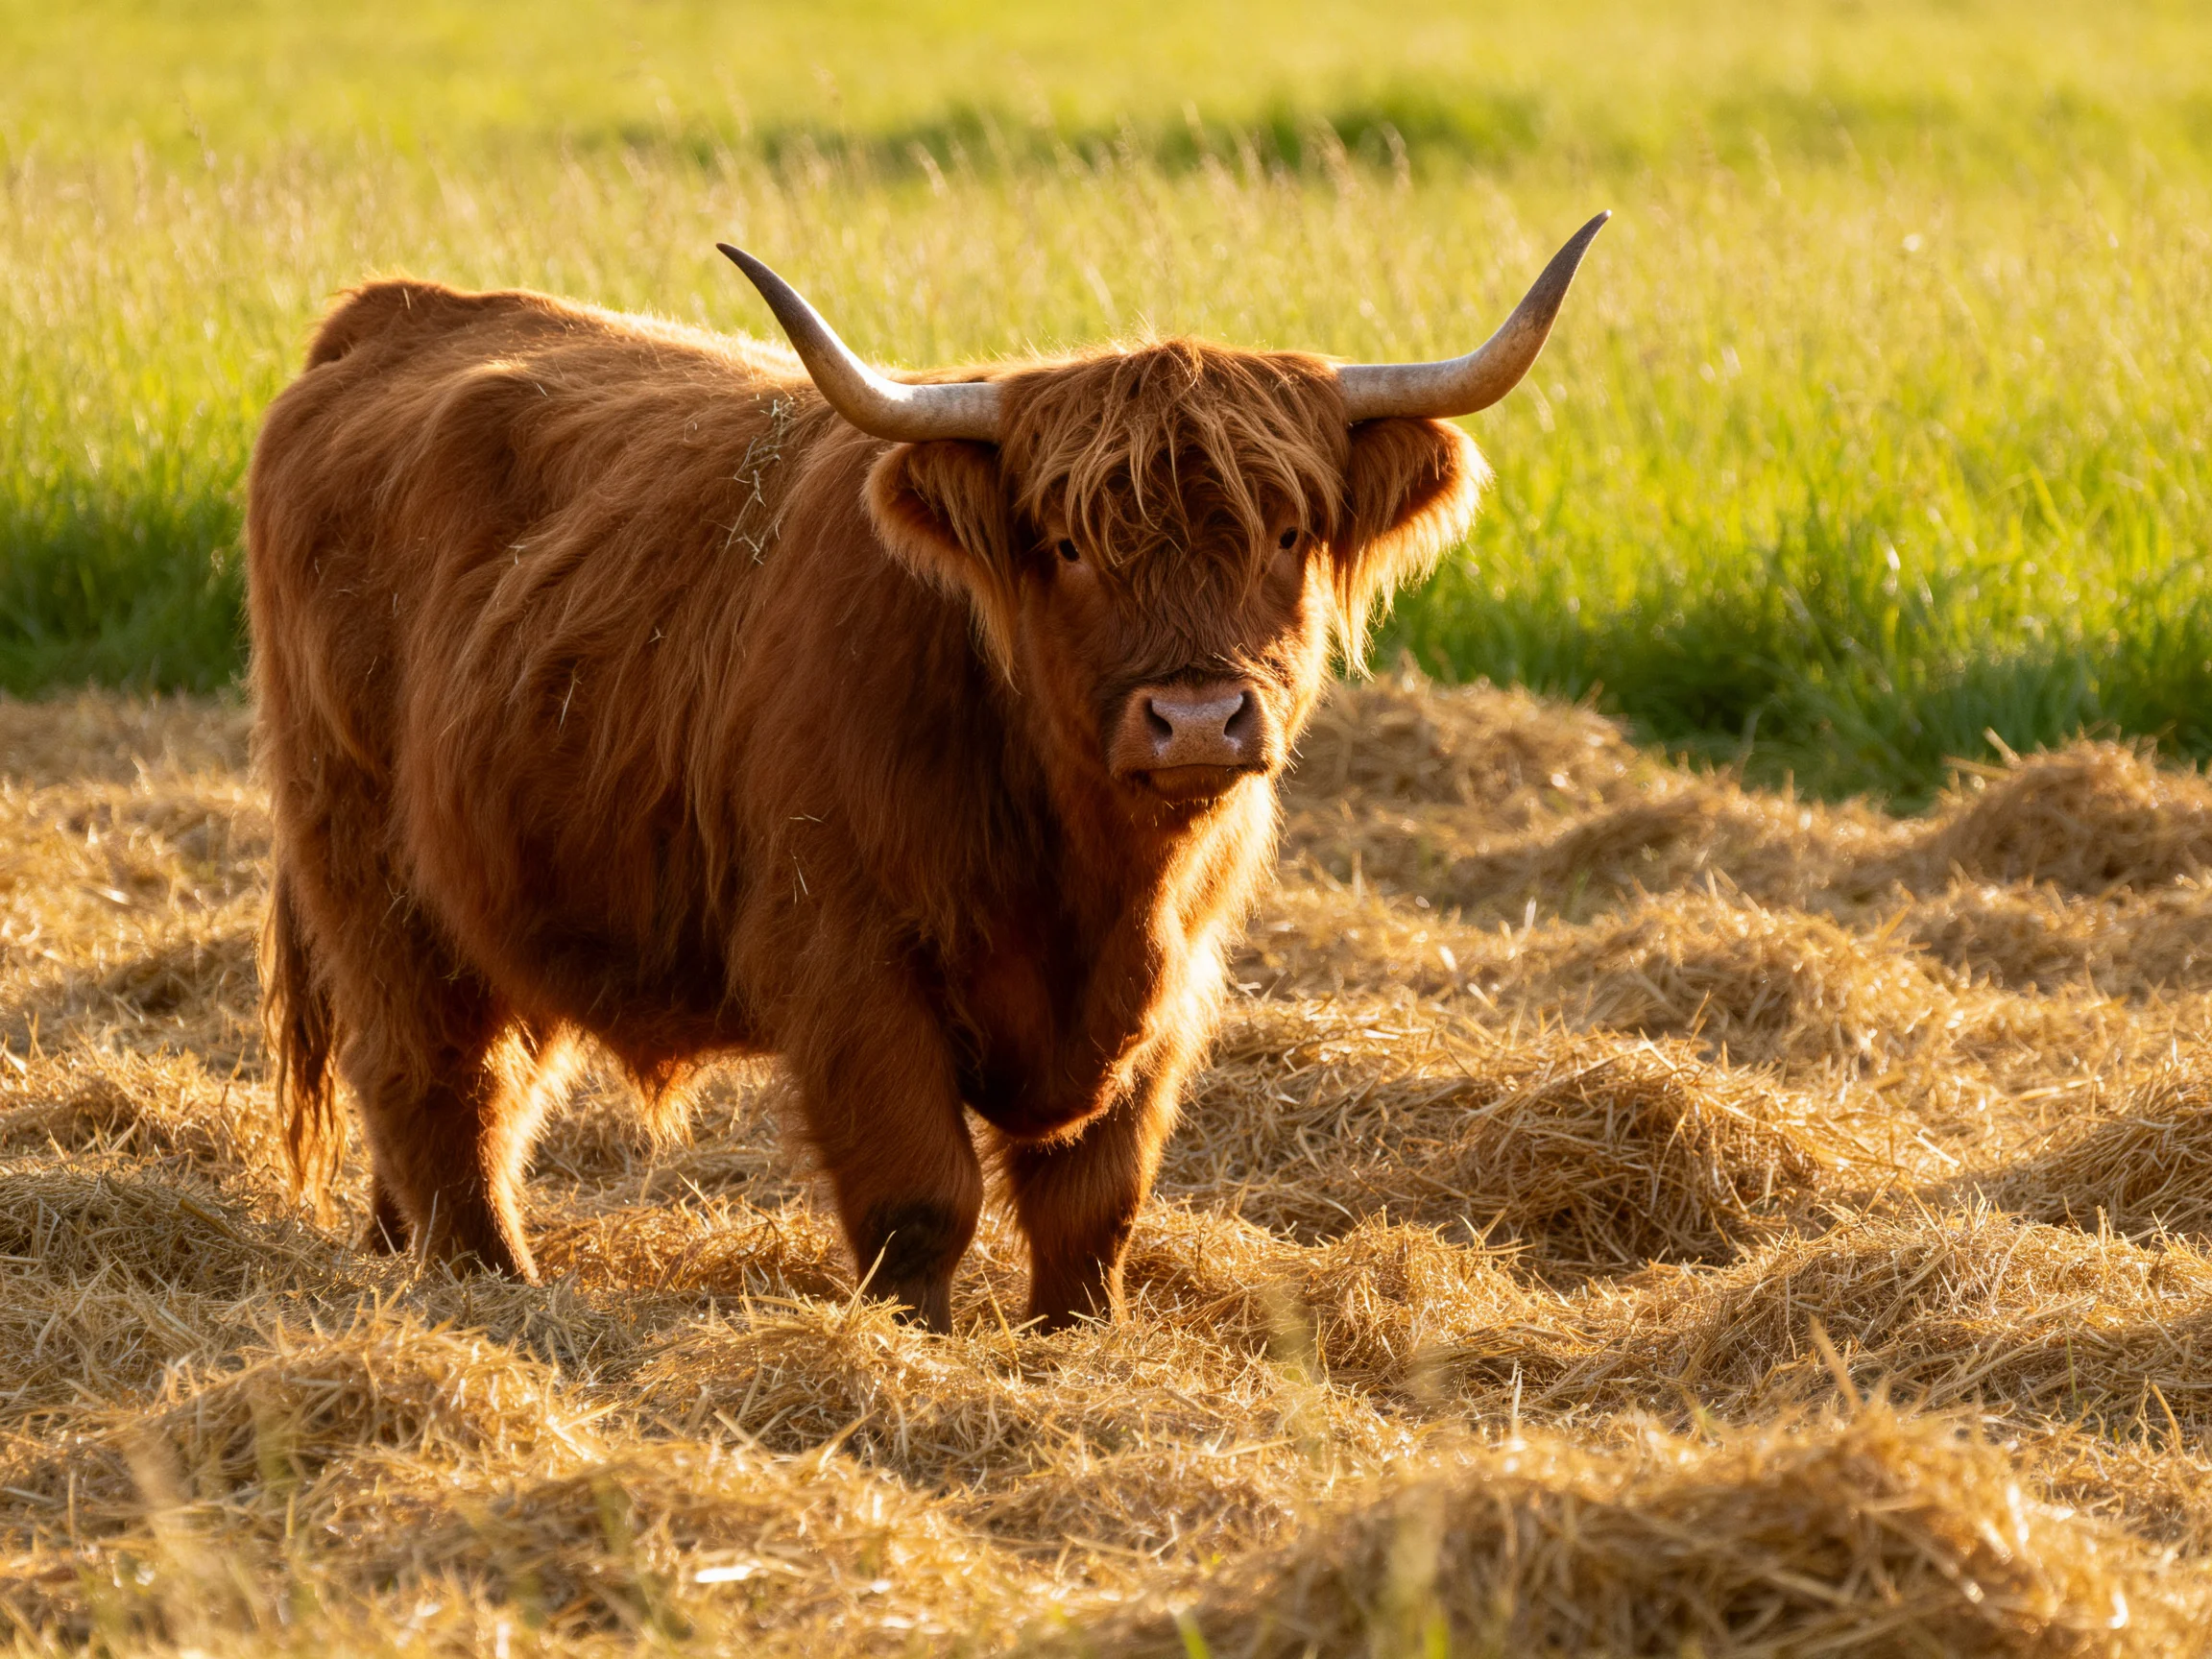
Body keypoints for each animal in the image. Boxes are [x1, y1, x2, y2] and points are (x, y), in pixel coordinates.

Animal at [249, 212, 1606, 1332]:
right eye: (1066, 545)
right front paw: (918, 1349)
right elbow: (922, 1198)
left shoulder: (1175, 983)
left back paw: (405, 1258)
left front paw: (1074, 1343)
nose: (1197, 719)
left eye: (1285, 532)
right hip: (365, 860)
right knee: (435, 1077)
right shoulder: (847, 962)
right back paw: (492, 1286)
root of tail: (397, 312)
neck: (1092, 875)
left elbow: (1095, 1203)